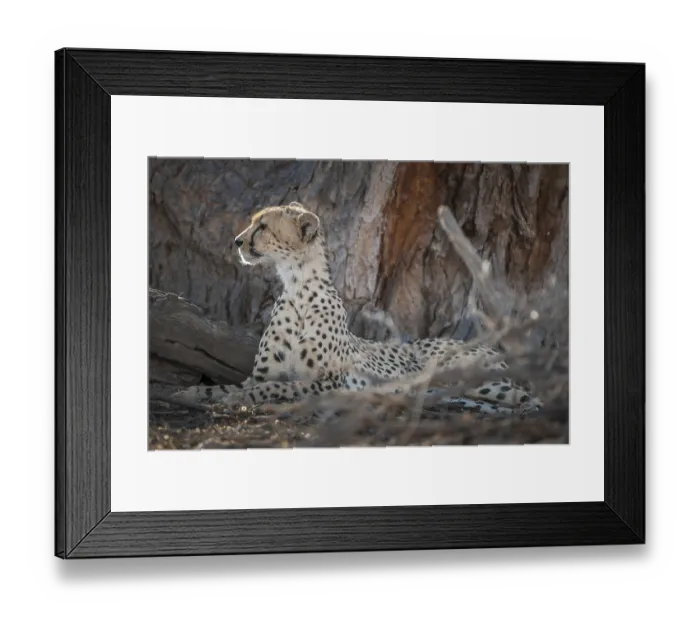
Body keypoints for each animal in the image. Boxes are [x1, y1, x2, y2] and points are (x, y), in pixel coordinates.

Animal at [175, 202, 542, 415]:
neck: (296, 285)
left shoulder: (328, 382)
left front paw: (229, 399)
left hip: (467, 372)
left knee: (530, 397)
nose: (237, 241)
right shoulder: (262, 373)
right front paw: (192, 392)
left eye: (263, 226)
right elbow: (236, 384)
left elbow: (275, 387)